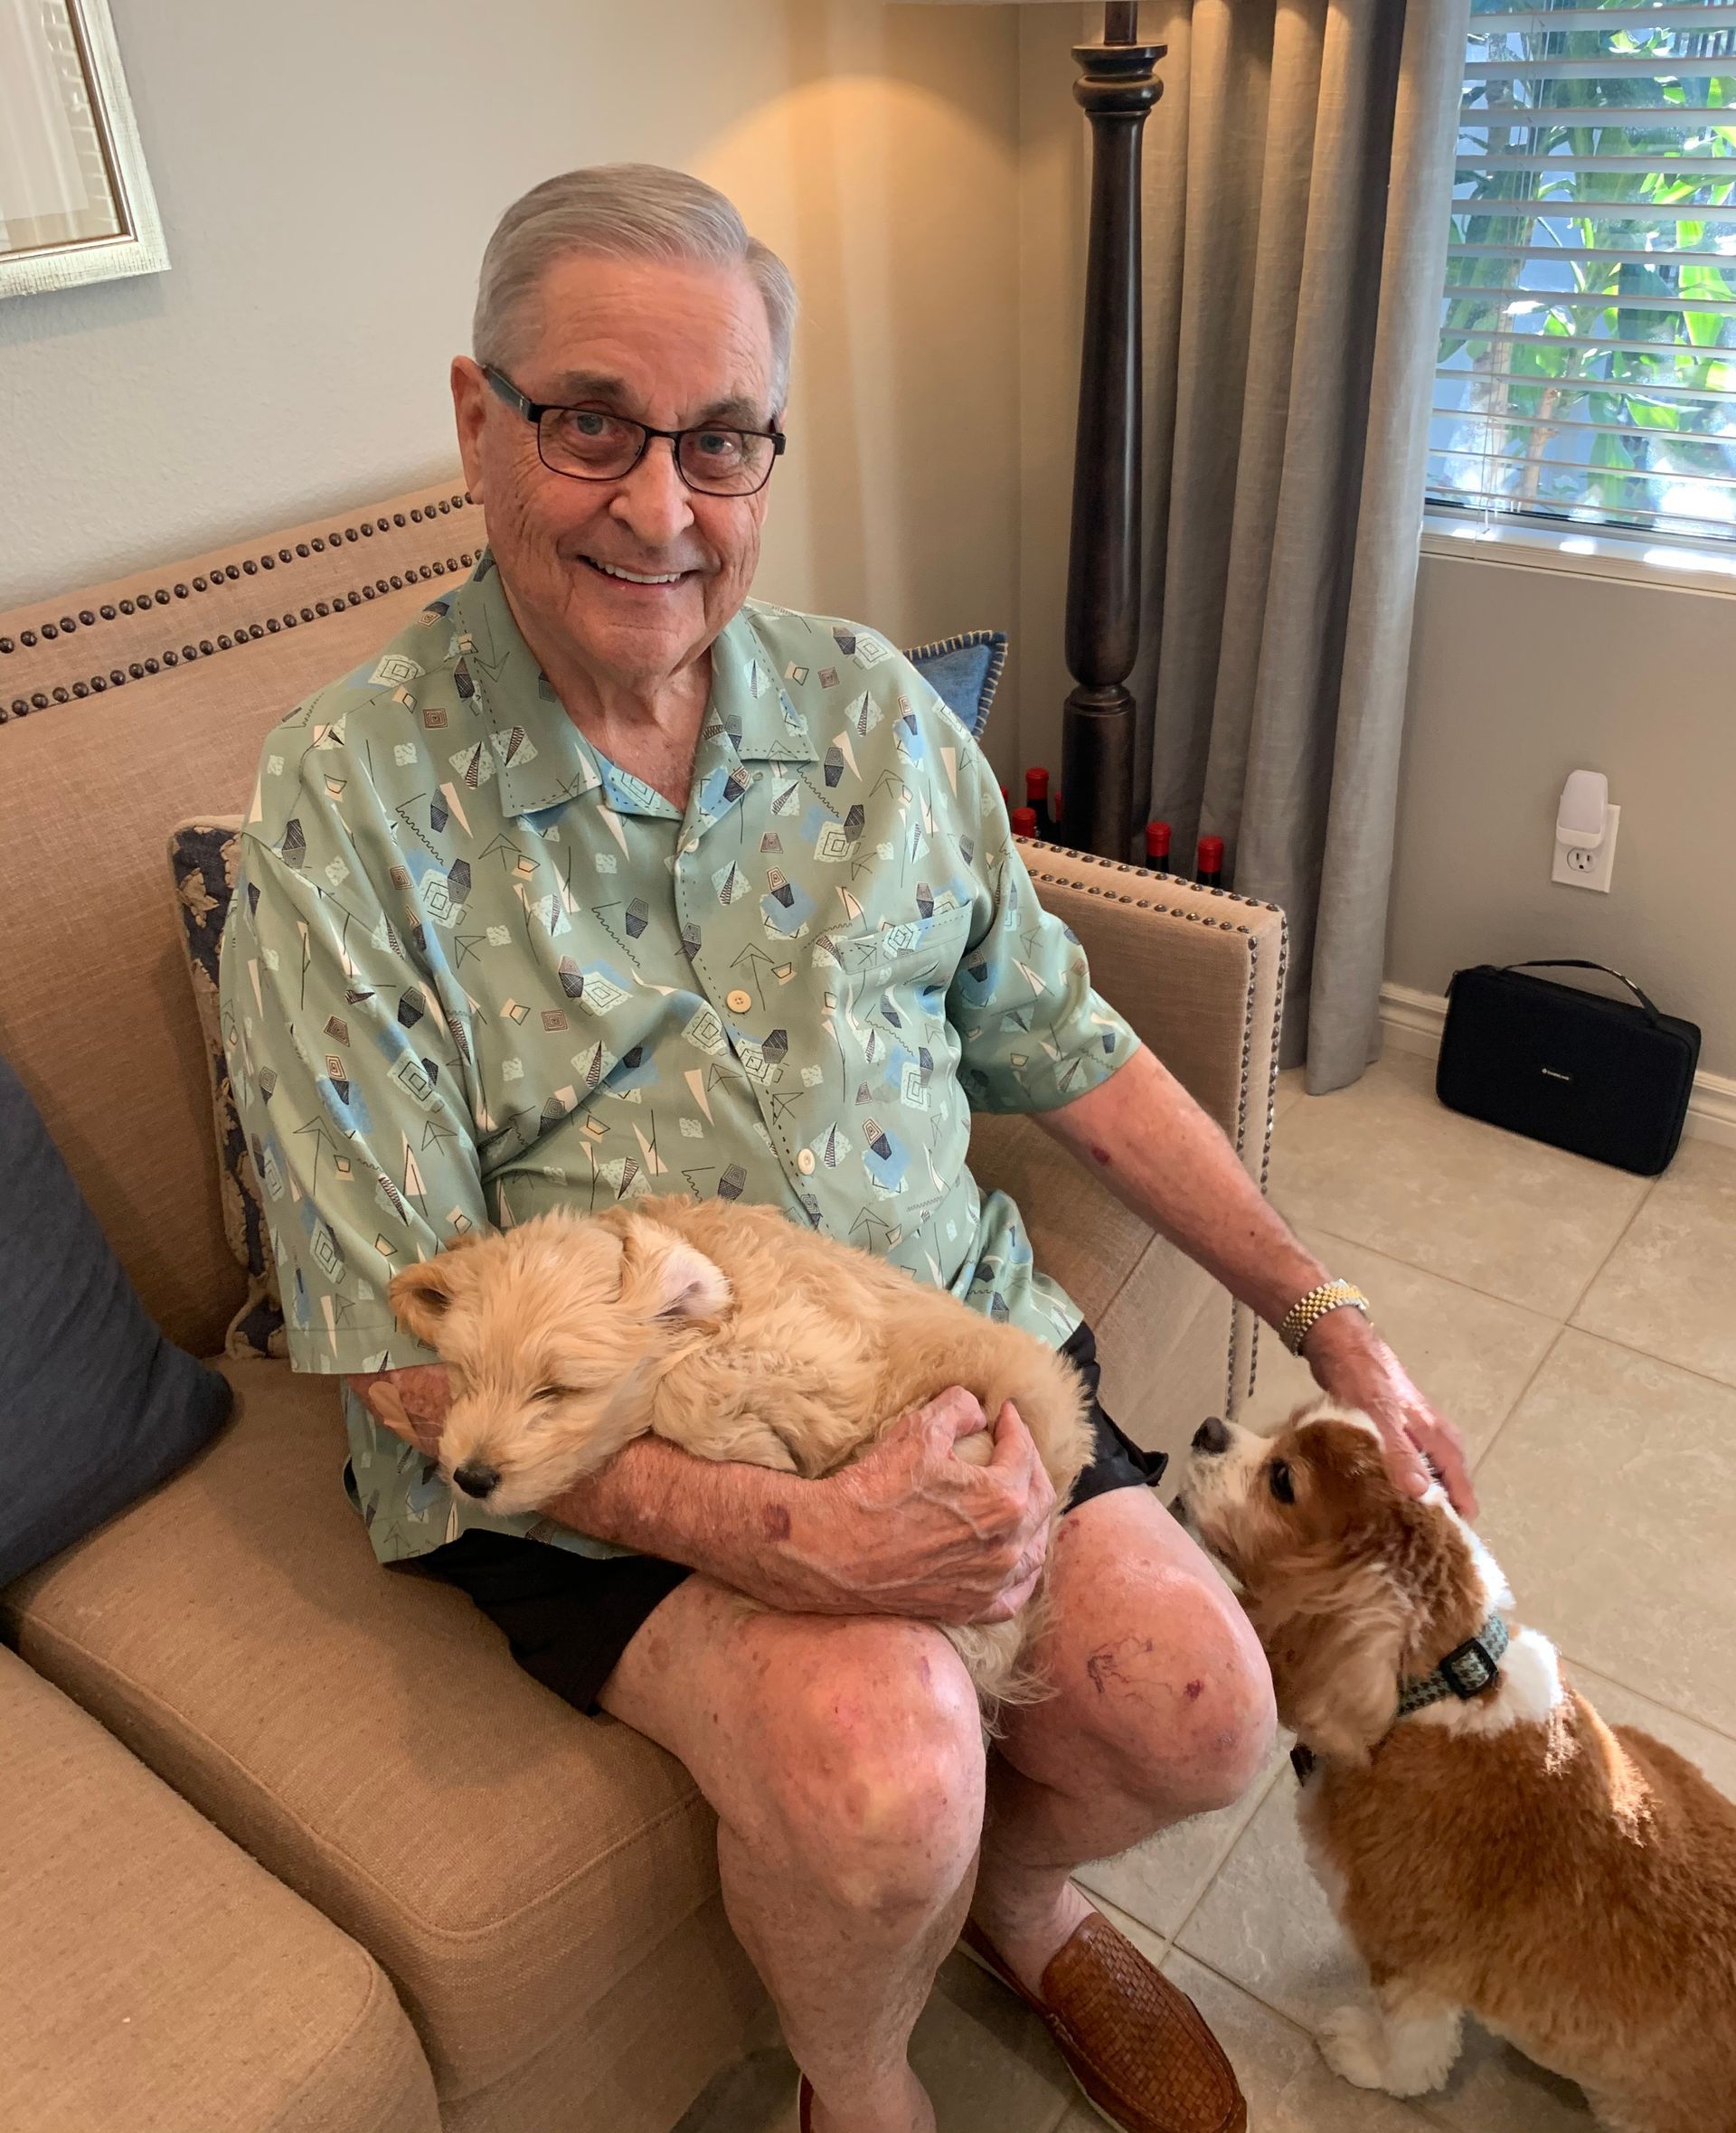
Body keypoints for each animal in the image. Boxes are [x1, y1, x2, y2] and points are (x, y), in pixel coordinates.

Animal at [388, 1197, 1094, 1713]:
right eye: (464, 1376)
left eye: (557, 1391)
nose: (471, 1477)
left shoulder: (826, 1361)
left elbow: (688, 1390)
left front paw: (767, 1452)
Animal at [1181, 1400, 1736, 2133]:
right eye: (1288, 1421)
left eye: (1282, 1480)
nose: (1208, 1428)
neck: (1440, 1686)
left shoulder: (1413, 1954)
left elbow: (1412, 2051)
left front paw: (1364, 2054)